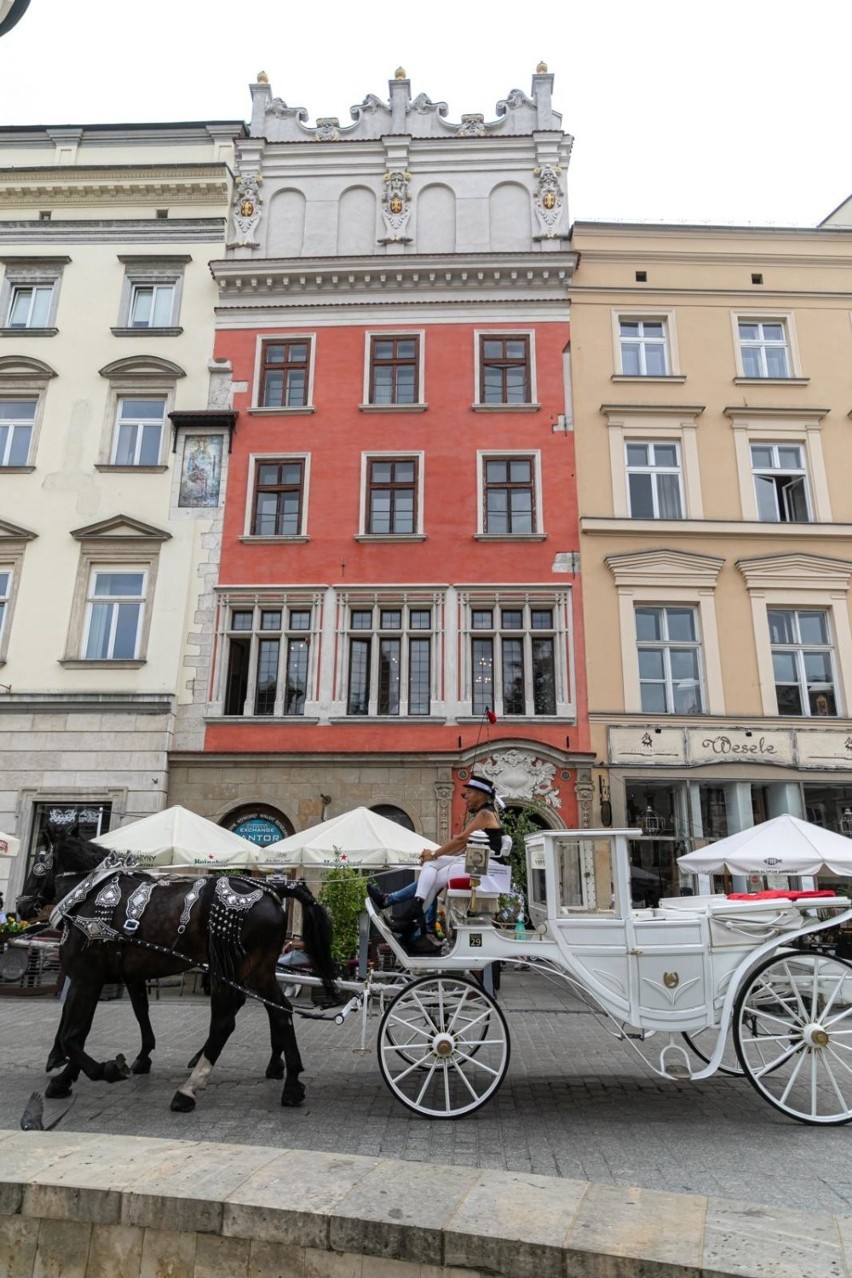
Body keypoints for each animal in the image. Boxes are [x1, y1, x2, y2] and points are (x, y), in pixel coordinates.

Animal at [16, 838, 337, 1109]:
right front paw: (66, 1076)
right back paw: (291, 1083)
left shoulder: (86, 977)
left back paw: (189, 1089)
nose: (21, 906)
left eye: (37, 866)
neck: (88, 896)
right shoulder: (115, 976)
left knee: (226, 1021)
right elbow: (97, 1024)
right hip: (258, 969)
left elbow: (72, 1034)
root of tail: (274, 890)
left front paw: (105, 1069)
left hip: (231, 967)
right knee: (280, 1011)